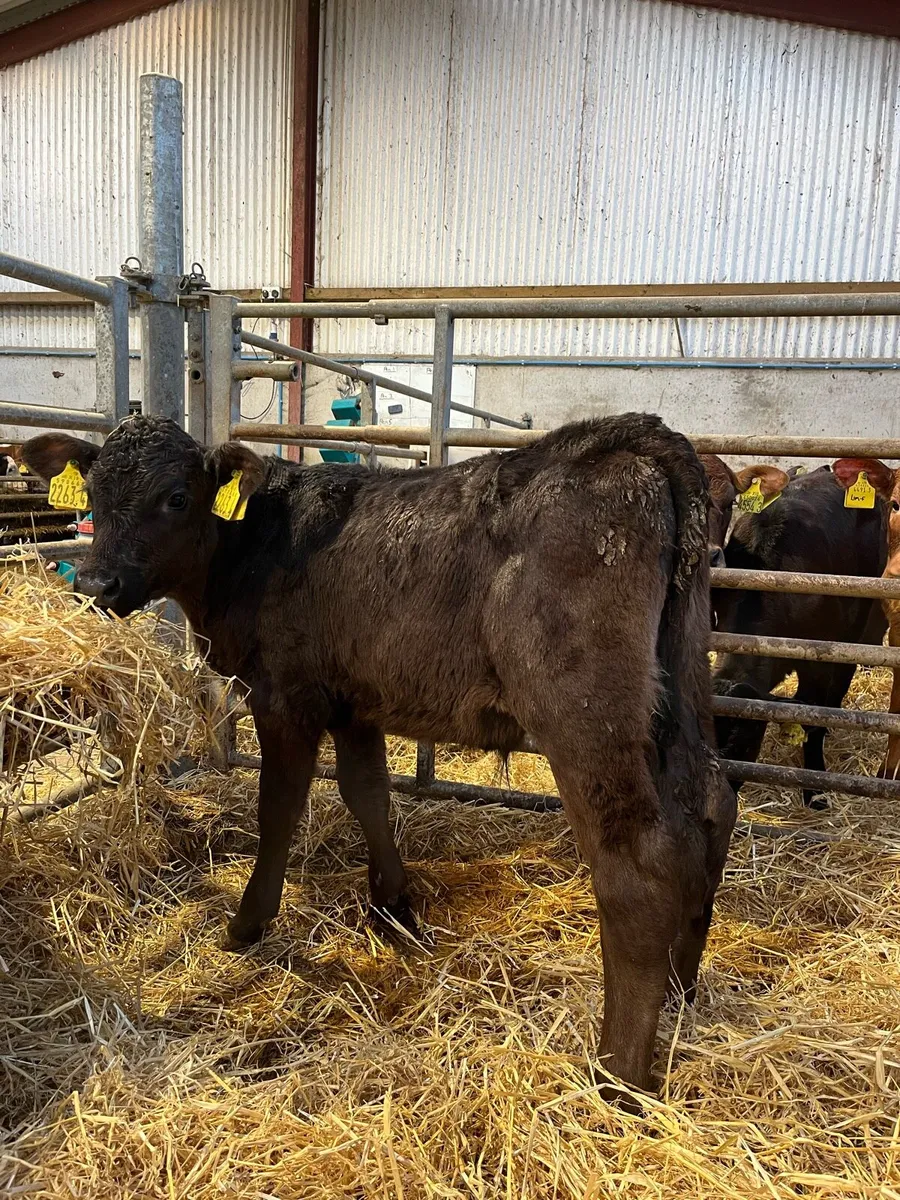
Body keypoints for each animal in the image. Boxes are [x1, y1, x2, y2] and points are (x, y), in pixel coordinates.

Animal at [23, 412, 735, 1098]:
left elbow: (278, 809)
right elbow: (367, 794)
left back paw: (618, 1075)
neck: (246, 547)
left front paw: (248, 923)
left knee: (640, 863)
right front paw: (394, 907)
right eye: (92, 493)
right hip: (679, 677)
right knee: (710, 804)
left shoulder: (287, 694)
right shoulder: (353, 703)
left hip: (582, 707)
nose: (96, 581)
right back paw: (679, 990)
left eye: (175, 497)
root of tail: (633, 437)